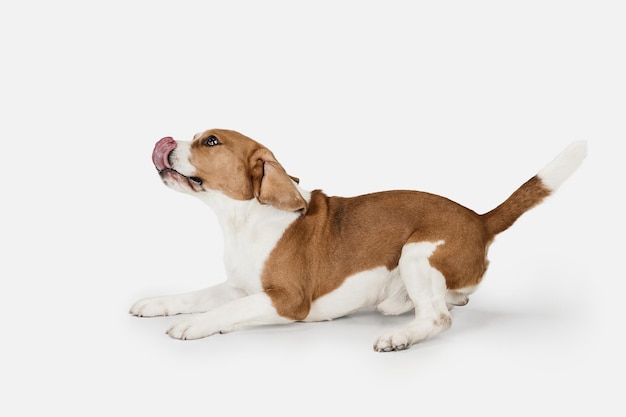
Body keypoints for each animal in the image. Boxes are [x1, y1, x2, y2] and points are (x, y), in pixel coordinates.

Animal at [128, 130, 584, 352]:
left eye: (210, 141)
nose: (164, 142)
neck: (243, 219)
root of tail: (480, 219)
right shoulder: (237, 286)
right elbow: (195, 295)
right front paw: (158, 304)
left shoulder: (287, 300)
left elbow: (227, 310)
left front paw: (196, 324)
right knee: (454, 300)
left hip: (415, 254)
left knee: (438, 317)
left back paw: (400, 337)